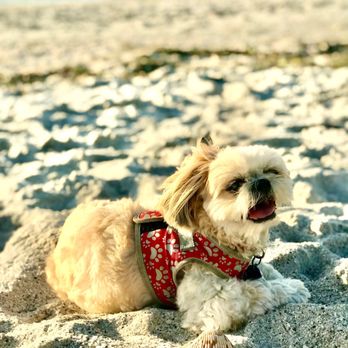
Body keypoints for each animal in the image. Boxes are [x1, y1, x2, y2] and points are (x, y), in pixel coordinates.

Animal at [44, 137, 308, 346]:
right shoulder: (211, 307)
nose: (262, 182)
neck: (214, 238)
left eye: (271, 171)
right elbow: (256, 290)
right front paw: (291, 288)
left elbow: (267, 272)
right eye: (234, 185)